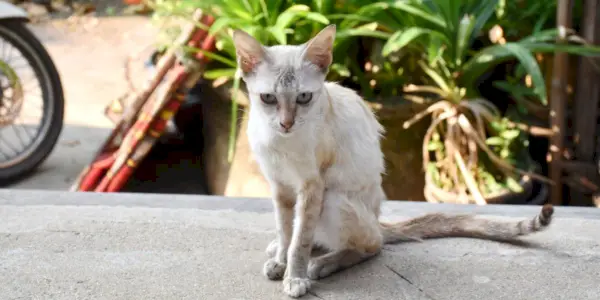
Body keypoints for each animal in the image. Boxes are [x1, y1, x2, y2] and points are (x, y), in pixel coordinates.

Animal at [230, 24, 552, 298]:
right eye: (269, 99)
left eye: (304, 97)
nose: (286, 124)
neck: (280, 143)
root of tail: (377, 218)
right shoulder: (280, 186)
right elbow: (286, 230)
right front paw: (280, 261)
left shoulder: (311, 186)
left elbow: (299, 243)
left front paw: (294, 277)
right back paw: (284, 251)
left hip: (333, 198)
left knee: (371, 245)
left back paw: (321, 264)